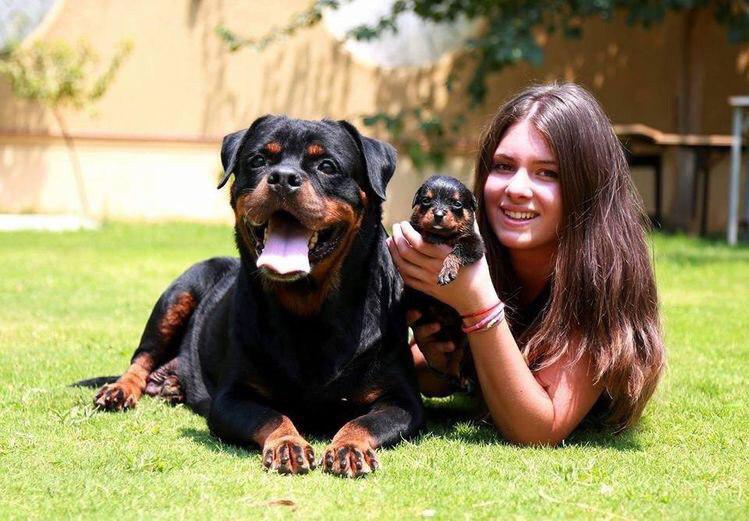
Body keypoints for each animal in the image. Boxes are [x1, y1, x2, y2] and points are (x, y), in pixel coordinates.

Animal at [89, 116, 420, 478]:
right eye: (259, 160)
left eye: (327, 165)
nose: (284, 178)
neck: (309, 310)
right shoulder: (231, 398)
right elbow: (271, 415)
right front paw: (287, 443)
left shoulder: (402, 400)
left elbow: (365, 421)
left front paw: (350, 447)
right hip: (180, 291)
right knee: (142, 357)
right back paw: (121, 390)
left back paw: (172, 385)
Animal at [406, 175, 482, 390]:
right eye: (426, 200)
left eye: (457, 204)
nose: (438, 214)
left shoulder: (474, 244)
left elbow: (457, 251)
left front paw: (447, 270)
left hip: (463, 335)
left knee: (457, 354)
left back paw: (459, 376)